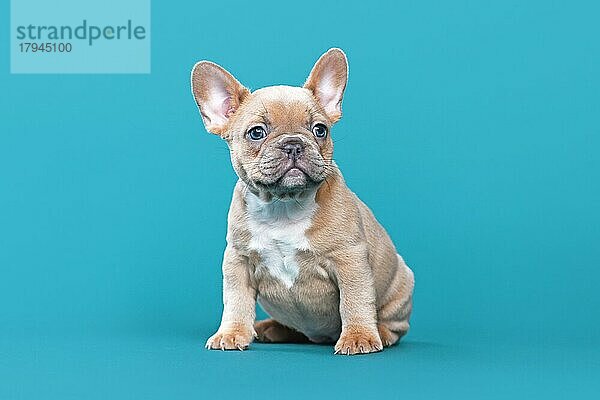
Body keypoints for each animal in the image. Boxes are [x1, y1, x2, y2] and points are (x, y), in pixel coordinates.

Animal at [191, 48, 412, 354]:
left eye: (320, 130)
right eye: (257, 132)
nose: (294, 144)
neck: (283, 206)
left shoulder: (350, 260)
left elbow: (355, 301)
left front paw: (358, 336)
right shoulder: (238, 261)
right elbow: (235, 301)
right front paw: (232, 332)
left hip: (401, 284)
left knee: (394, 324)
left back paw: (379, 332)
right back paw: (269, 328)